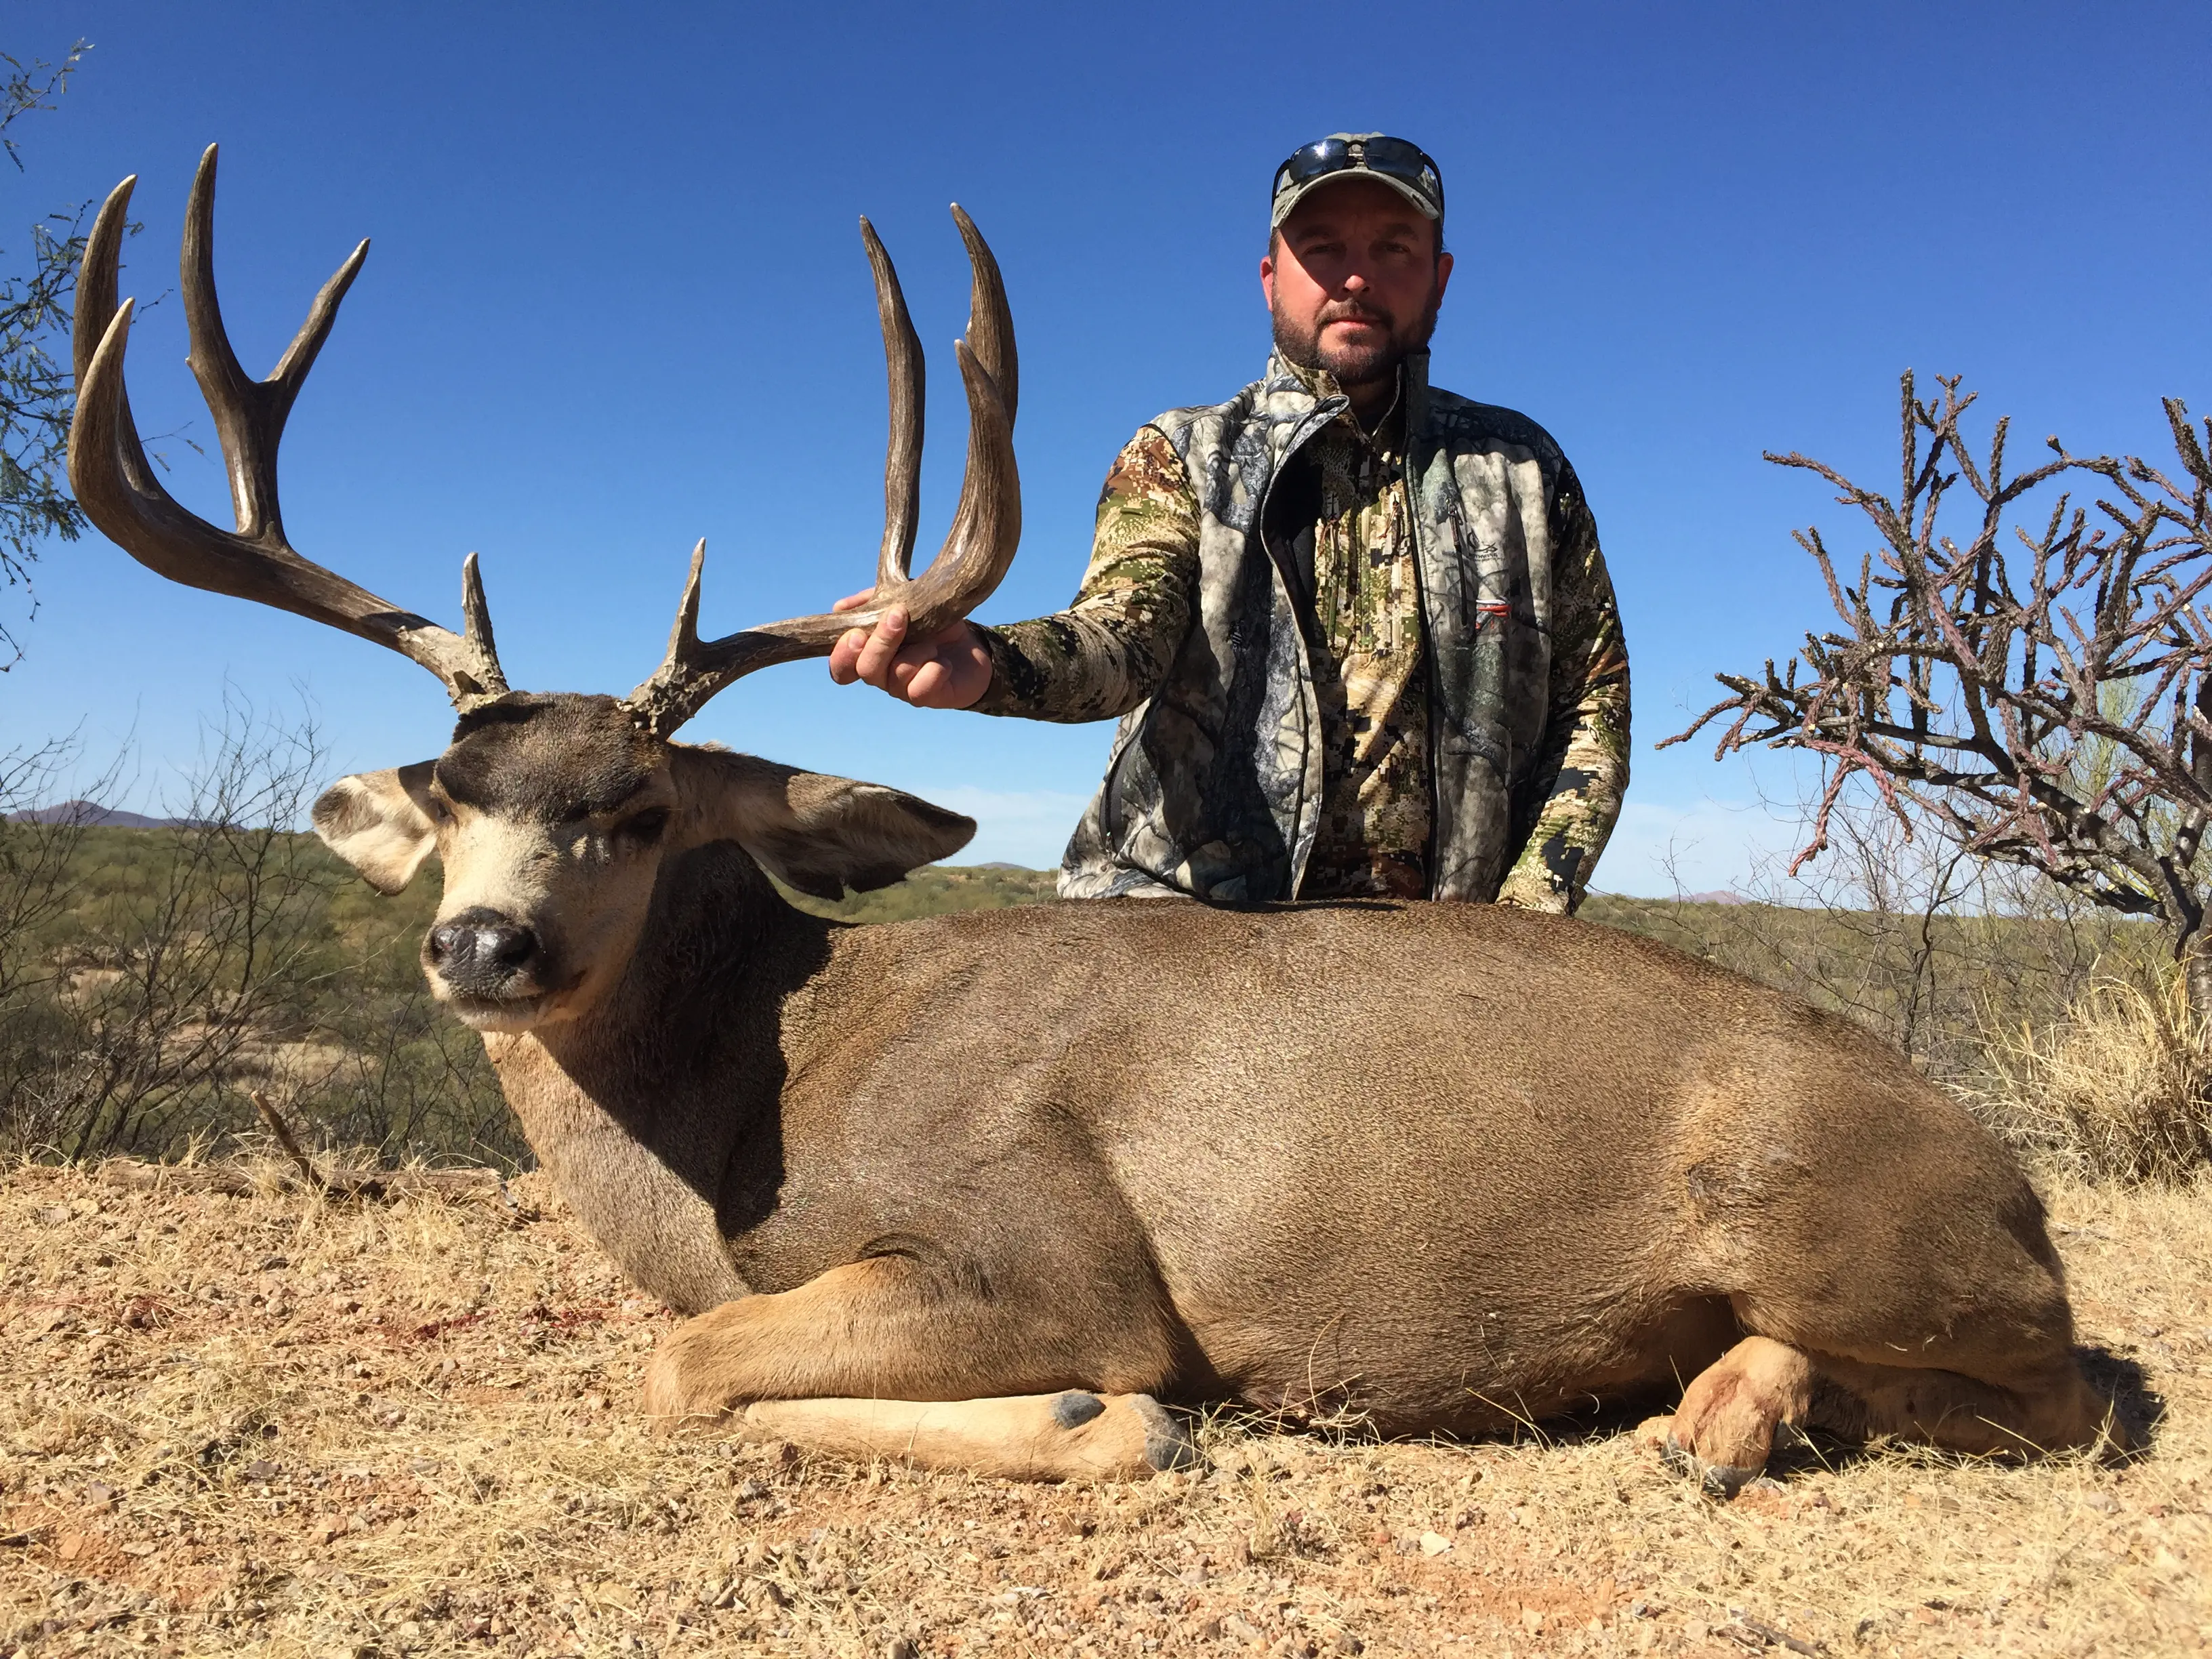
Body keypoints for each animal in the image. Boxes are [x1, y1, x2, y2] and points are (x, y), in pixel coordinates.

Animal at [67, 147, 2125, 1489]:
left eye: (640, 809)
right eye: (449, 793)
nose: (482, 943)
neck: (760, 1101)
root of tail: (2011, 1177)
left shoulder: (1038, 1249)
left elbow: (688, 1365)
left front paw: (1084, 1413)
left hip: (1839, 1222)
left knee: (2080, 1391)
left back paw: (1725, 1415)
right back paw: (1712, 1412)